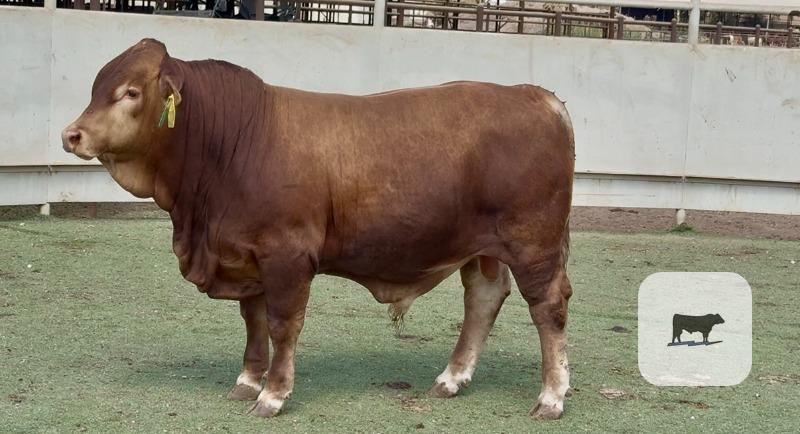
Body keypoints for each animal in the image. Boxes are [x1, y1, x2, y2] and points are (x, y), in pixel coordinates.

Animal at [61, 39, 576, 420]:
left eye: (130, 92)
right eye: (96, 86)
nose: (72, 135)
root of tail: (538, 96)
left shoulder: (286, 255)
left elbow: (282, 324)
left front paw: (273, 395)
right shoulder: (245, 254)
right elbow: (253, 320)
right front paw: (246, 382)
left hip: (533, 242)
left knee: (547, 308)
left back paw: (551, 397)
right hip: (480, 246)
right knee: (483, 299)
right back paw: (451, 379)